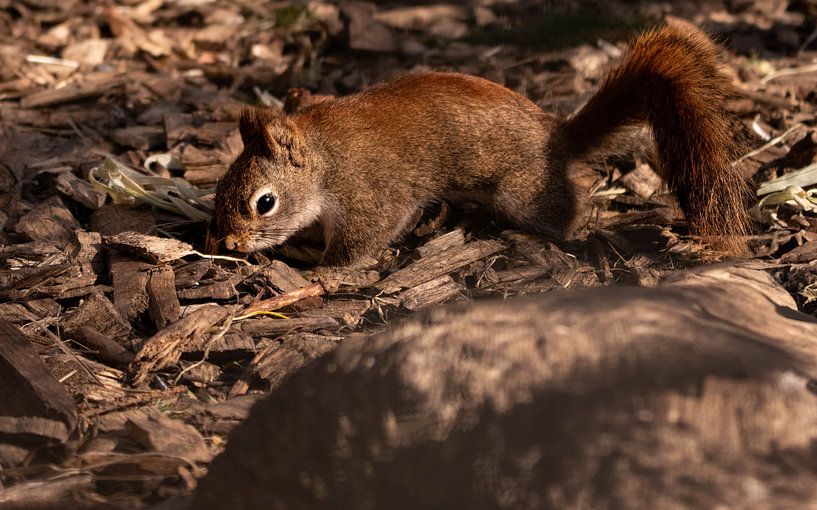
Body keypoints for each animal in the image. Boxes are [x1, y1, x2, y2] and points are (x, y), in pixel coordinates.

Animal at [212, 20, 750, 268]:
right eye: (218, 188)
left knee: (569, 210)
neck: (325, 159)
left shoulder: (370, 197)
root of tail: (557, 135)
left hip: (522, 192)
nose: (227, 243)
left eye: (264, 202)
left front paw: (323, 271)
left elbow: (360, 241)